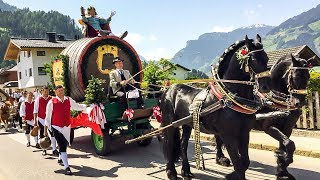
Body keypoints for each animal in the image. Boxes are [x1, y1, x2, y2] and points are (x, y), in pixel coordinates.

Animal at [162, 34, 270, 179]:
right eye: (253, 58)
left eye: (266, 57)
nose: (265, 86)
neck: (230, 97)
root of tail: (169, 89)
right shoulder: (228, 135)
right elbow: (238, 165)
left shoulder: (244, 133)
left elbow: (245, 162)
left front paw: (230, 175)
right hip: (170, 123)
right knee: (169, 144)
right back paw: (171, 172)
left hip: (187, 124)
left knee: (183, 146)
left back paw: (186, 171)